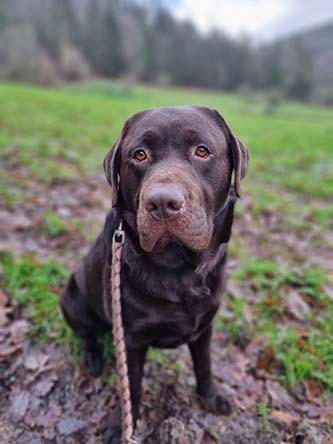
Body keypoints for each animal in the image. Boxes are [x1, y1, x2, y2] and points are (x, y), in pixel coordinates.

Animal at [59, 106, 248, 442]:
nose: (162, 202)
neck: (179, 270)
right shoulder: (131, 338)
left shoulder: (205, 327)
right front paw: (121, 425)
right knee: (87, 333)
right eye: (139, 155)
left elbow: (204, 365)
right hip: (72, 298)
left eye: (202, 151)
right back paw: (93, 359)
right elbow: (131, 385)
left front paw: (211, 397)